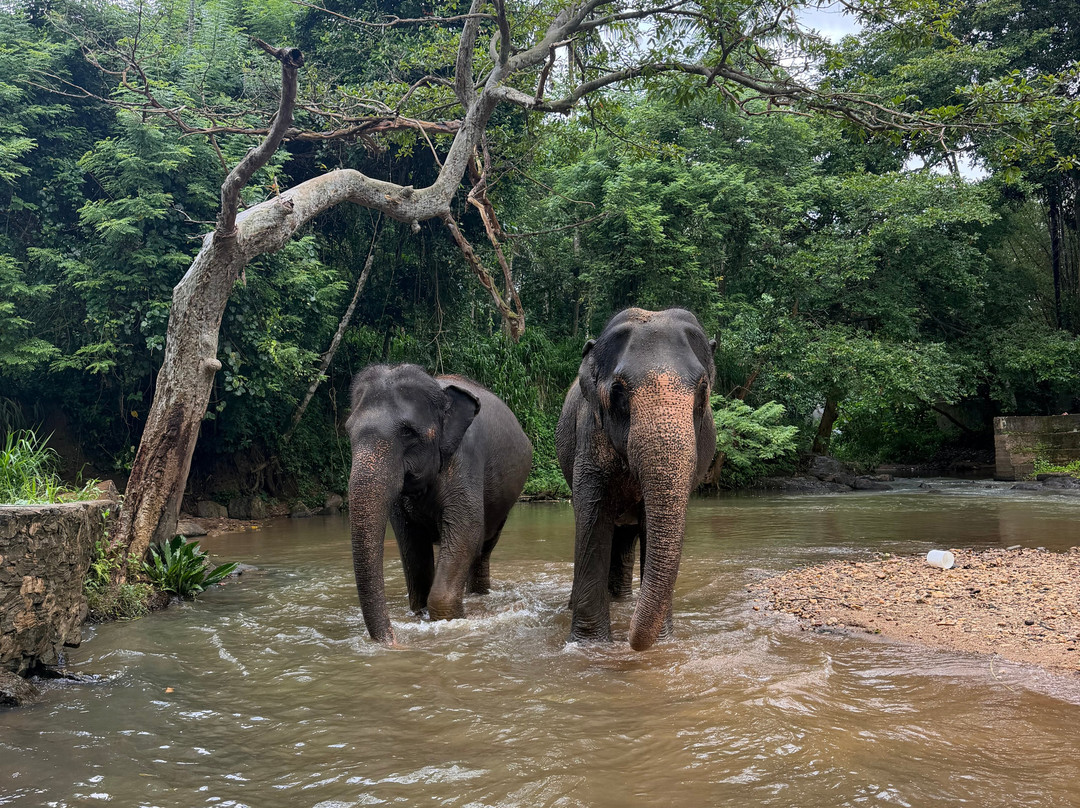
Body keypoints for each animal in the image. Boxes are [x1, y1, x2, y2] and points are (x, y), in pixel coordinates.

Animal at [345, 364, 533, 643]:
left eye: (408, 432)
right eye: (348, 432)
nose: (394, 642)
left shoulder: (465, 457)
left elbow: (466, 529)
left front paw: (450, 619)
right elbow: (411, 541)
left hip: (505, 502)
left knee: (483, 545)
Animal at [556, 307, 717, 651]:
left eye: (703, 390)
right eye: (617, 391)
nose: (629, 641)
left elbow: (648, 524)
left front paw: (663, 642)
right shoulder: (590, 435)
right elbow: (592, 518)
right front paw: (589, 647)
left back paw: (622, 601)